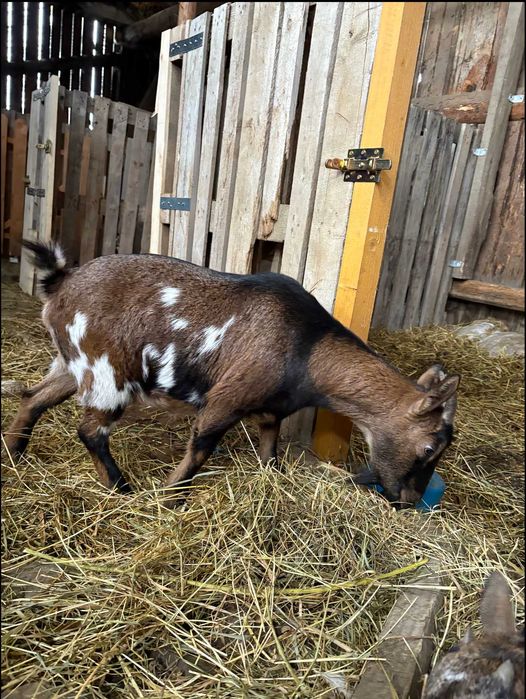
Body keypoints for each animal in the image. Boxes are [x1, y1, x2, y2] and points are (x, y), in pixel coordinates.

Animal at [4, 240, 459, 506]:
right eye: (428, 447)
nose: (408, 499)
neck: (307, 347)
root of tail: (61, 283)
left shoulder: (271, 410)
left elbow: (270, 453)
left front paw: (272, 482)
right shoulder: (228, 397)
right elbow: (202, 447)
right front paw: (169, 498)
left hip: (71, 363)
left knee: (34, 397)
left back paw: (13, 453)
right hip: (105, 369)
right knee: (90, 431)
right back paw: (122, 488)